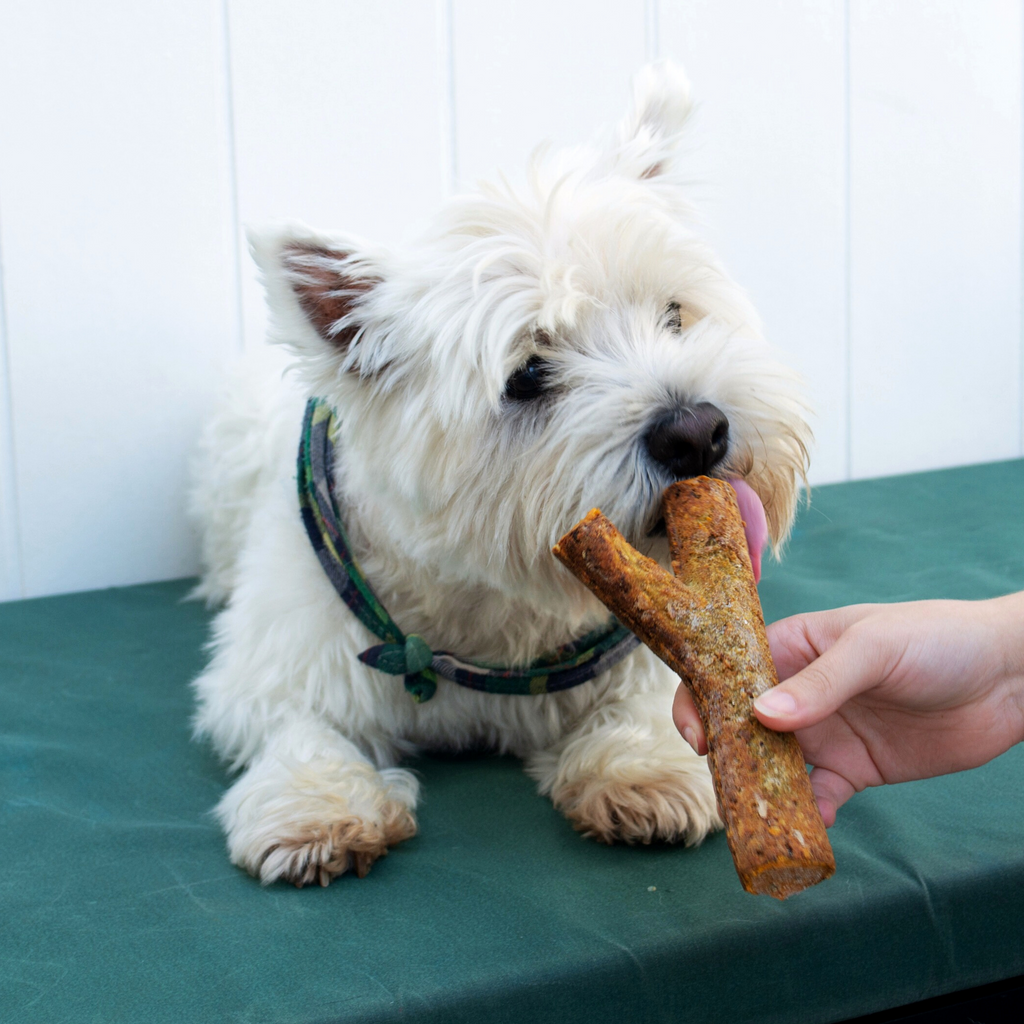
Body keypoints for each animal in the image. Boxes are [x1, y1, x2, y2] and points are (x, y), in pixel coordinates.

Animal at [190, 59, 806, 884]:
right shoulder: (273, 663)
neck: (485, 610)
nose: (696, 432)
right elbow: (296, 724)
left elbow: (661, 696)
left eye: (675, 314)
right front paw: (316, 806)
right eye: (528, 375)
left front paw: (642, 769)